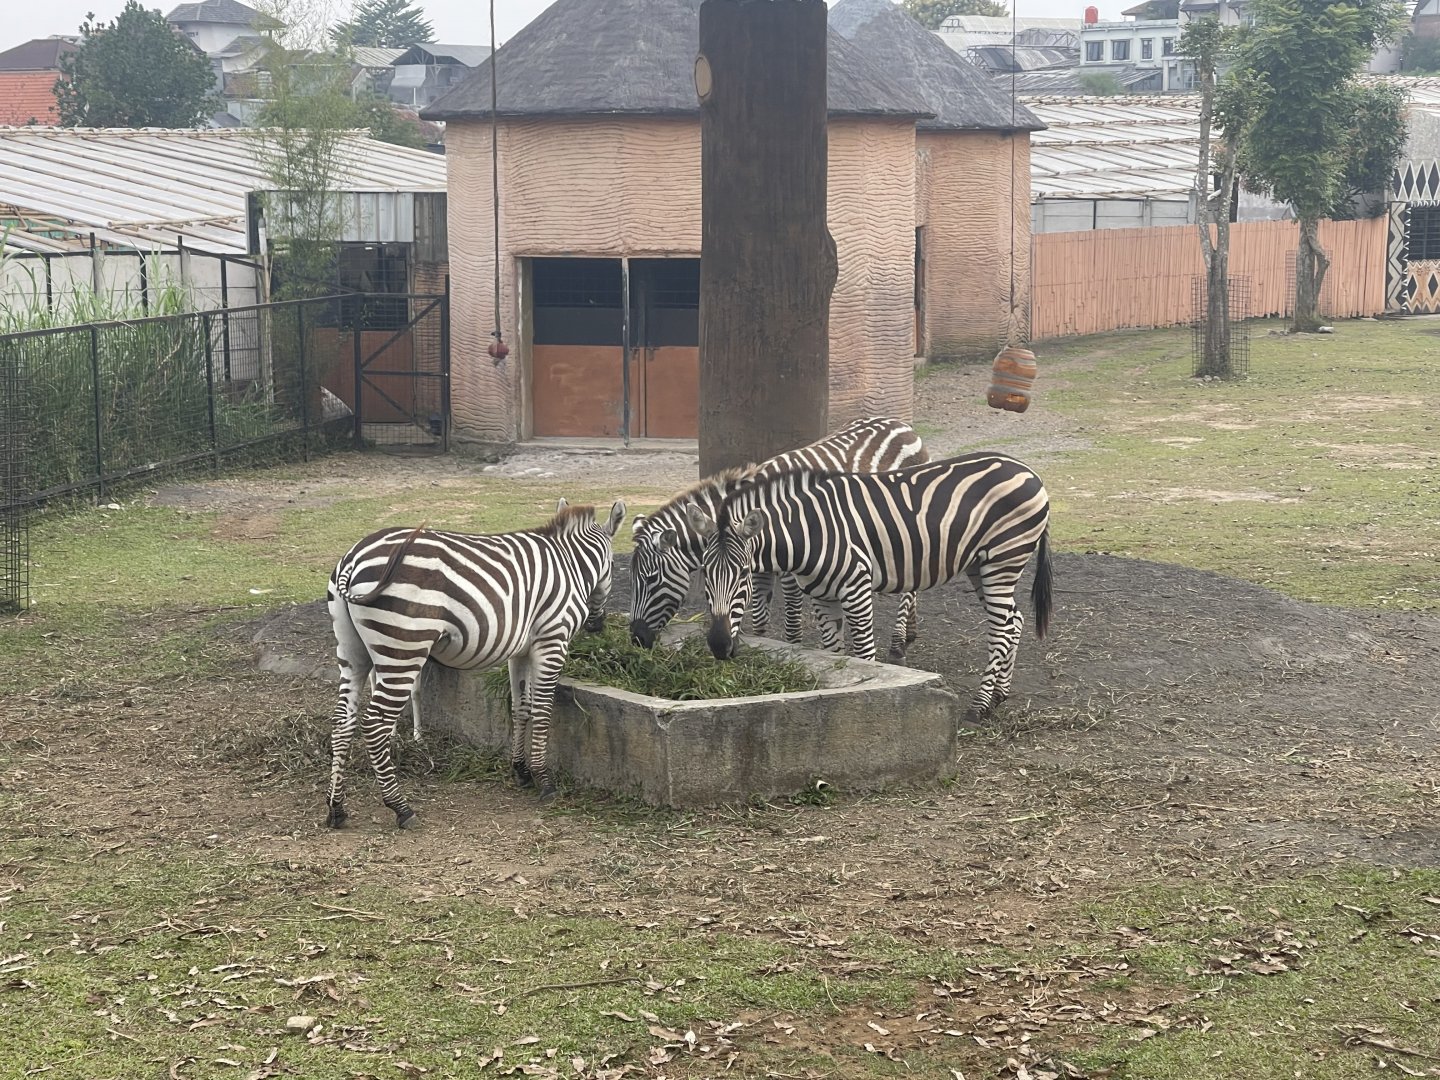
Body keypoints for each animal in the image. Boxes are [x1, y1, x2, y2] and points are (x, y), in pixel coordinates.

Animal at [324, 498, 626, 829]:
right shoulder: (552, 641)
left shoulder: (520, 650)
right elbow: (543, 711)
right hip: (403, 647)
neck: (570, 565)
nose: (597, 626)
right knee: (375, 723)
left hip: (352, 651)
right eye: (612, 565)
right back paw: (400, 807)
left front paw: (521, 771)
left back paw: (336, 809)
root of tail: (353, 558)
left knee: (343, 721)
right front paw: (544, 780)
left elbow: (520, 707)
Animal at [627, 416, 930, 658]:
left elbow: (792, 618)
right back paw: (910, 633)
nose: (636, 639)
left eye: (651, 580)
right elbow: (759, 615)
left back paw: (898, 645)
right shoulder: (758, 567)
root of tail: (902, 425)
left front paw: (791, 646)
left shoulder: (792, 568)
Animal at [686, 453, 1053, 717]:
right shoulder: (822, 596)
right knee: (1015, 620)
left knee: (1001, 629)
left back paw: (980, 706)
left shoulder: (856, 588)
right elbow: (833, 654)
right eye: (704, 574)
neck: (809, 530)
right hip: (981, 564)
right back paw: (1000, 695)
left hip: (1002, 559)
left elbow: (864, 653)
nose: (718, 645)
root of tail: (1029, 472)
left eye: (744, 573)